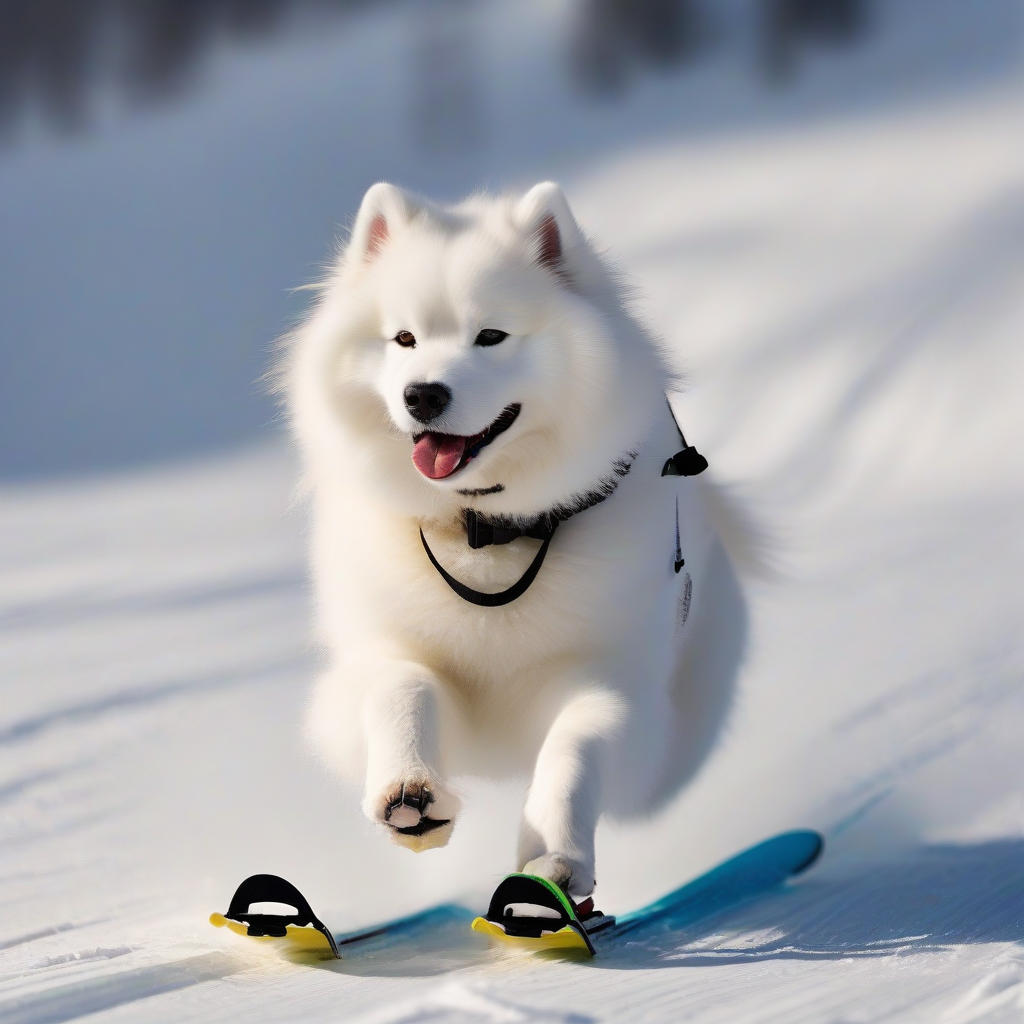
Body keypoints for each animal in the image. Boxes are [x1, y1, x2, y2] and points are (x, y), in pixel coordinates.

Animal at [284, 182, 741, 897]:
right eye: (404, 338)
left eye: (491, 337)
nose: (422, 394)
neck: (487, 533)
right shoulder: (379, 656)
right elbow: (402, 690)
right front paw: (410, 794)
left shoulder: (608, 680)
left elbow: (573, 752)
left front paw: (554, 860)